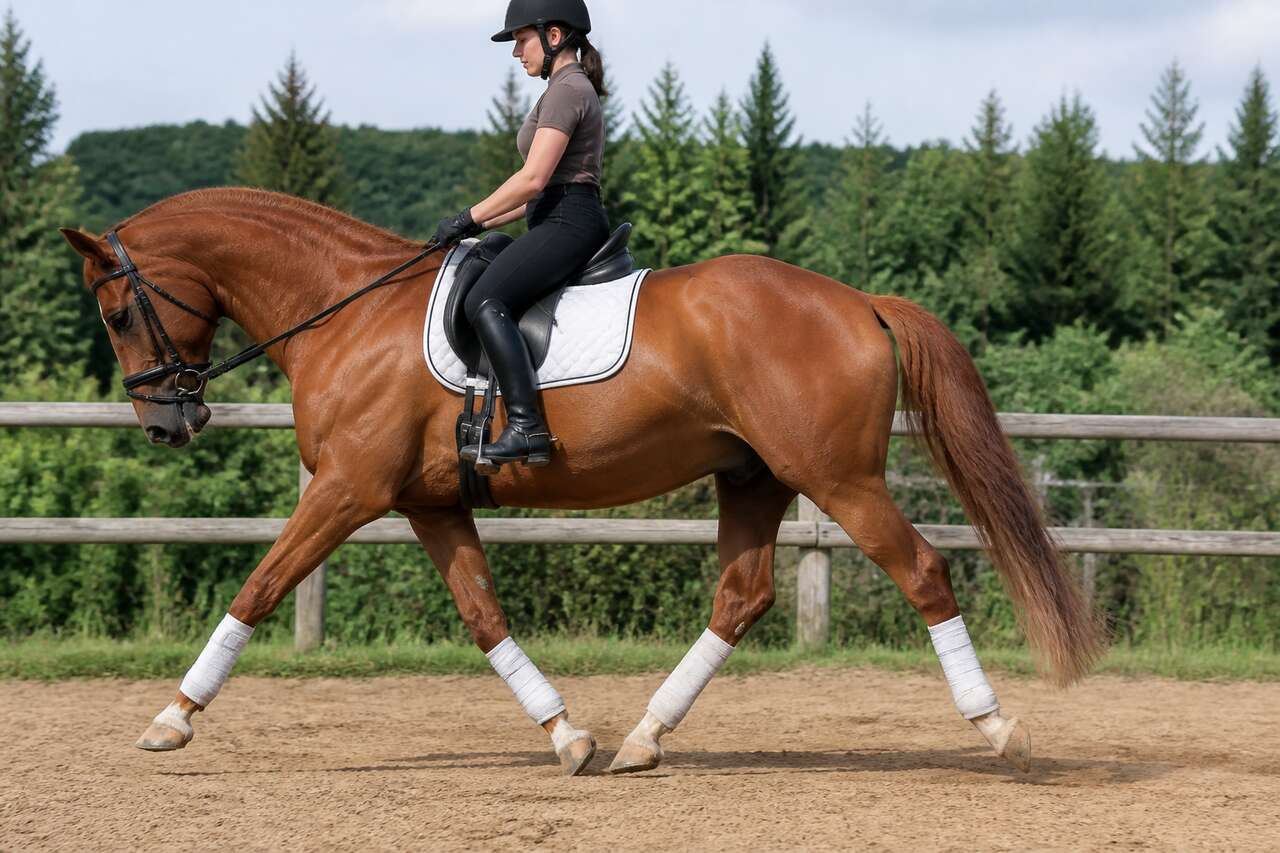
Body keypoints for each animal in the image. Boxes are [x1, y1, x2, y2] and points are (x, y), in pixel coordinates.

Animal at [61, 187, 1103, 777]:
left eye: (116, 312)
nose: (167, 422)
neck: (346, 313)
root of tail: (857, 301)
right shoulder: (429, 501)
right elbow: (483, 615)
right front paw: (567, 735)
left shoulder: (347, 489)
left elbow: (260, 585)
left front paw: (170, 719)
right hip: (755, 477)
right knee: (742, 595)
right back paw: (644, 738)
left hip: (837, 478)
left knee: (922, 571)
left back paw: (998, 730)